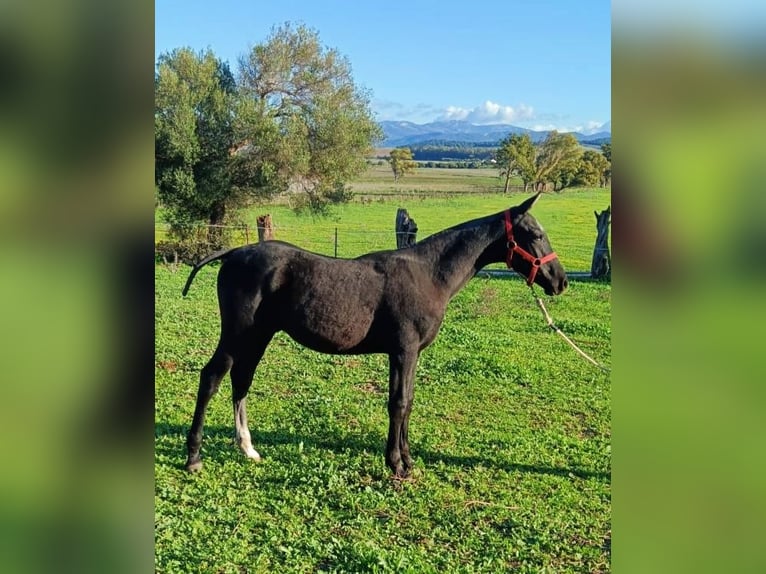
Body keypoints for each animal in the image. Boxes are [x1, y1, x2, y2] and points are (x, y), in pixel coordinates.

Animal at [183, 196, 568, 480]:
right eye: (535, 234)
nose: (559, 281)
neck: (429, 274)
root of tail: (234, 252)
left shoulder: (411, 354)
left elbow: (408, 401)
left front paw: (407, 460)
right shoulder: (403, 351)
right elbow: (397, 403)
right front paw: (396, 464)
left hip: (258, 336)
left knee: (241, 380)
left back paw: (248, 448)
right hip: (237, 334)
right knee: (212, 378)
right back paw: (194, 457)